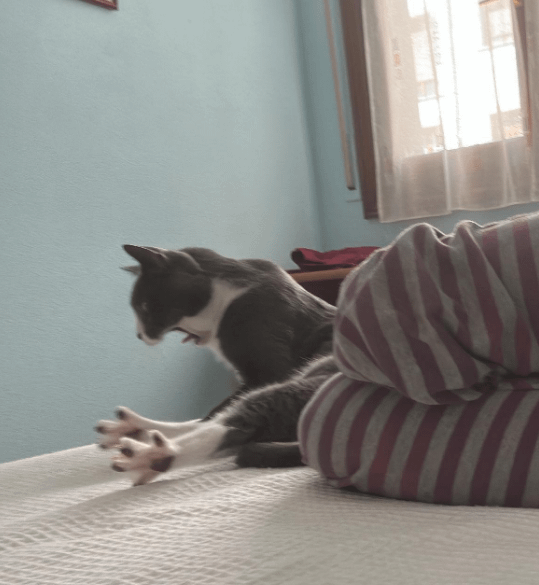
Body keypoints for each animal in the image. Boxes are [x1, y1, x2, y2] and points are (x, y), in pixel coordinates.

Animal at [95, 245, 338, 485]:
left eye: (144, 306)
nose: (138, 335)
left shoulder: (268, 369)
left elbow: (219, 411)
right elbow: (213, 412)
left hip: (306, 383)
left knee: (239, 424)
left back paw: (151, 455)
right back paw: (132, 428)